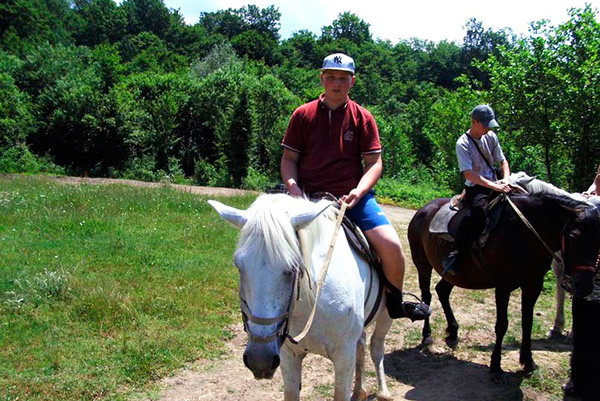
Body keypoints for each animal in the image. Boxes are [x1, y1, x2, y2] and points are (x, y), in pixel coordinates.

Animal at [209, 194, 396, 400]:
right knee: (362, 345)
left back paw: (383, 392)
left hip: (386, 316)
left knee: (376, 347)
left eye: (292, 268)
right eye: (238, 266)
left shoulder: (344, 356)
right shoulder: (288, 355)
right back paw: (359, 392)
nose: (259, 359)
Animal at [408, 191, 600, 376]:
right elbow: (501, 325)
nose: (584, 286)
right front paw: (495, 365)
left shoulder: (533, 286)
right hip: (423, 265)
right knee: (426, 296)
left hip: (455, 275)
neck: (526, 234)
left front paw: (528, 362)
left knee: (442, 291)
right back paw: (427, 336)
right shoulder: (503, 287)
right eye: (574, 236)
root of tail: (424, 209)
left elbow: (527, 323)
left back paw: (453, 332)